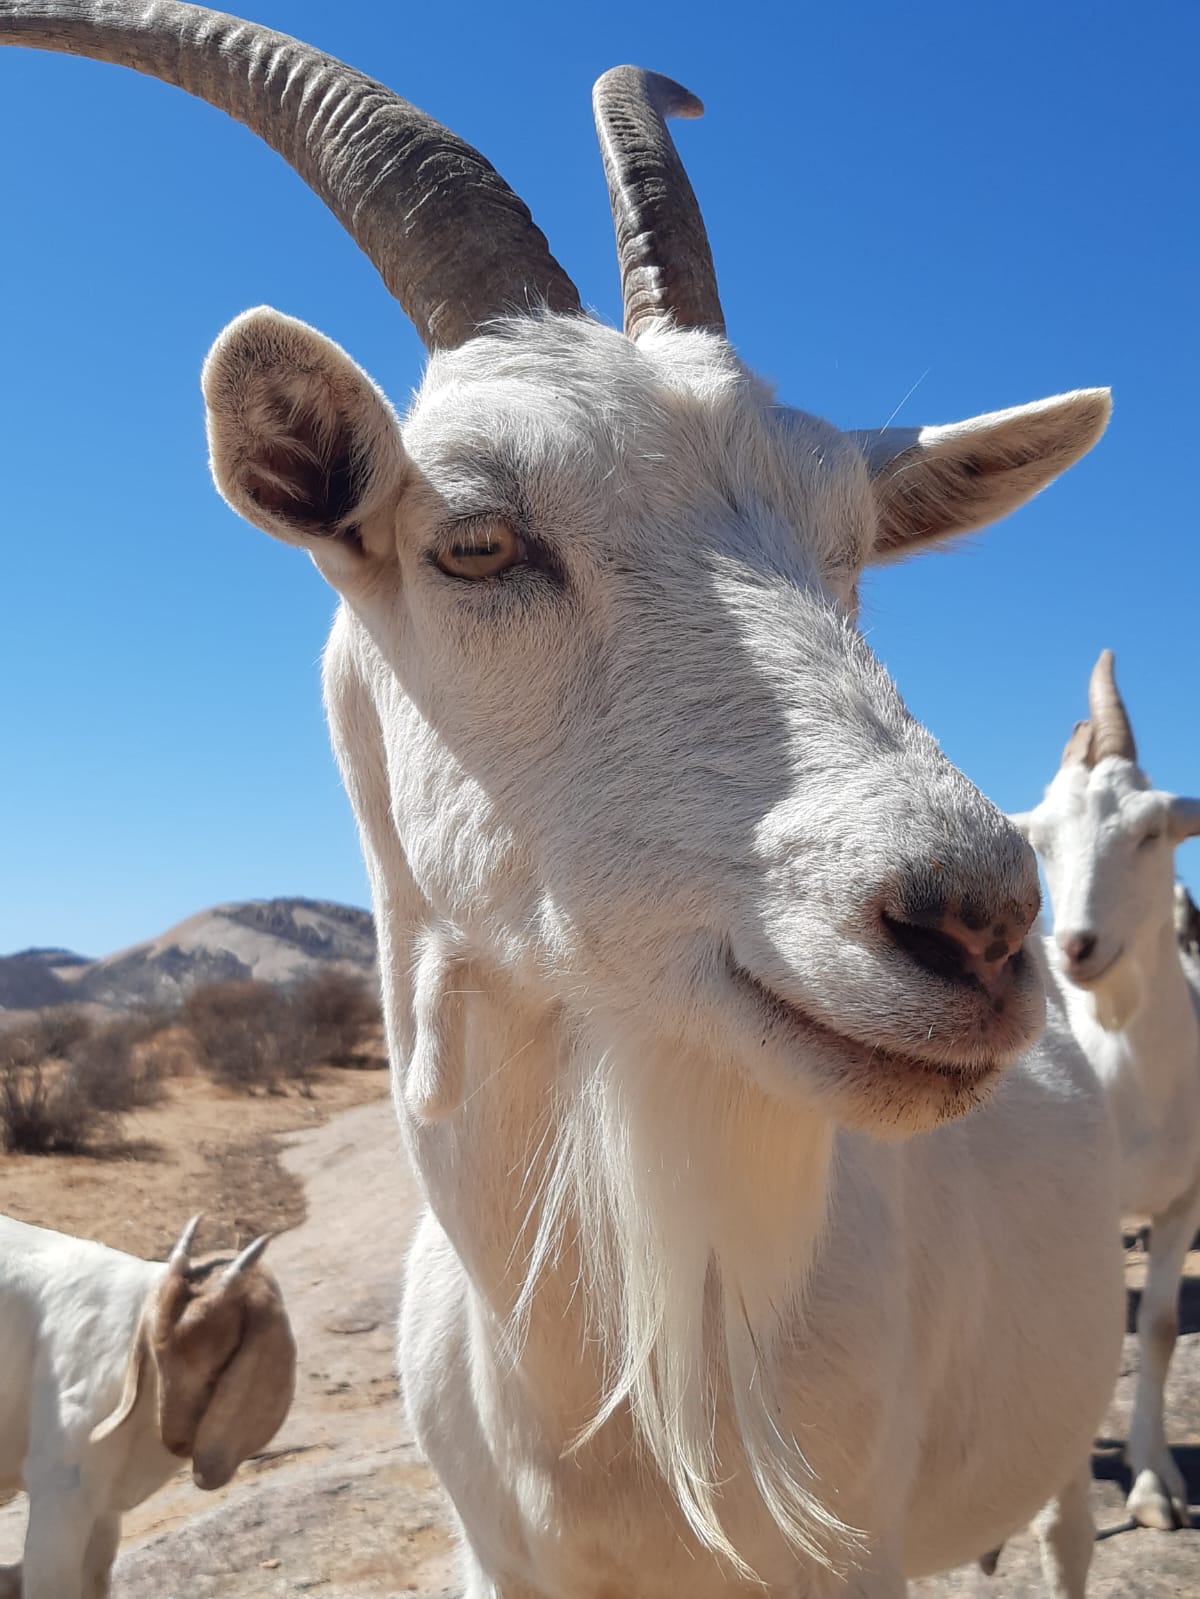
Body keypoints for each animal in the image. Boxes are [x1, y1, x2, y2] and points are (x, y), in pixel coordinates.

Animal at [0, 1213, 296, 1599]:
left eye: (222, 1358)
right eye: (158, 1348)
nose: (177, 1439)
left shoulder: (103, 1510)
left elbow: (95, 1576)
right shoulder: (61, 1489)